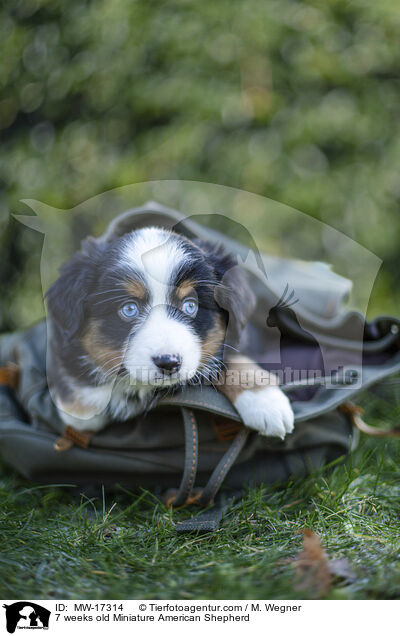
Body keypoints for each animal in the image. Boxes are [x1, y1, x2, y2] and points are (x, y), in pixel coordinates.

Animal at [46, 226, 294, 440]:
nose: (168, 363)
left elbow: (233, 359)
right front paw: (82, 405)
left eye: (190, 305)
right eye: (129, 309)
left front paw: (266, 402)